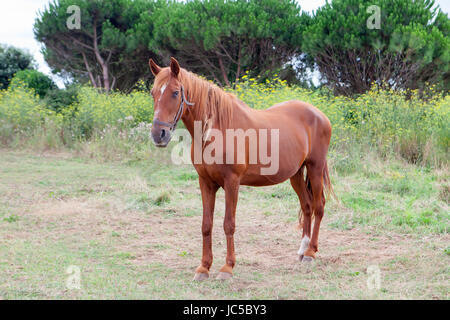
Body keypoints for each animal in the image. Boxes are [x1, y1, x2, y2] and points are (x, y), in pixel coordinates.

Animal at [149, 57, 332, 280]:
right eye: (153, 92)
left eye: (175, 92)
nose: (158, 134)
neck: (217, 129)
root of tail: (319, 114)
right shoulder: (205, 183)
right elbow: (206, 225)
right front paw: (204, 267)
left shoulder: (232, 182)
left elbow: (229, 224)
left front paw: (227, 268)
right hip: (295, 174)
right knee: (306, 206)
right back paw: (302, 249)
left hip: (315, 167)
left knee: (318, 206)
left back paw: (311, 253)